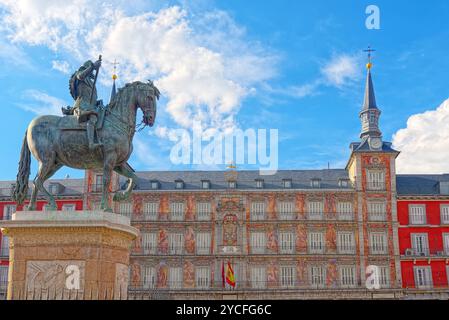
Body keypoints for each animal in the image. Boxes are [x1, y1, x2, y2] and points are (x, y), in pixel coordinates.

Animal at [13, 80, 159, 212]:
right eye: (149, 97)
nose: (151, 119)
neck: (116, 121)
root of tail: (30, 125)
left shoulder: (119, 163)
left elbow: (134, 178)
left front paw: (119, 196)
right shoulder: (110, 157)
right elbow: (106, 180)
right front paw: (105, 207)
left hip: (55, 163)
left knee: (37, 181)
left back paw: (32, 208)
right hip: (46, 159)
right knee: (38, 180)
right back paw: (50, 204)